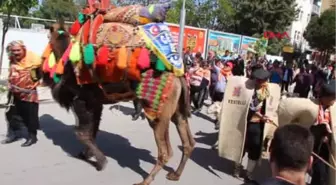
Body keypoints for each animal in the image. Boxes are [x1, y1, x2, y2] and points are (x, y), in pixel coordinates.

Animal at [39, 1, 196, 185]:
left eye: (48, 36)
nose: (40, 67)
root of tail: (180, 76)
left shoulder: (82, 99)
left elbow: (81, 133)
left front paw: (101, 161)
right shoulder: (96, 102)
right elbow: (92, 131)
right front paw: (86, 154)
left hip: (158, 111)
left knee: (166, 151)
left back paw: (145, 181)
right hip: (177, 111)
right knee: (188, 142)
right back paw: (175, 174)